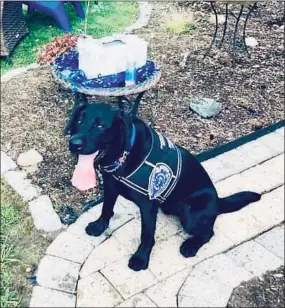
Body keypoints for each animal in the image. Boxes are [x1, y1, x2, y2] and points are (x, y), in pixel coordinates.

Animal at [67, 97, 260, 270]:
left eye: (100, 125)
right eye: (79, 120)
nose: (74, 143)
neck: (124, 154)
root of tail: (218, 201)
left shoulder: (147, 206)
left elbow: (146, 234)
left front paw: (141, 258)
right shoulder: (110, 187)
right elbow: (106, 208)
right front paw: (99, 226)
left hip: (191, 212)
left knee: (208, 232)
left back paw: (190, 246)